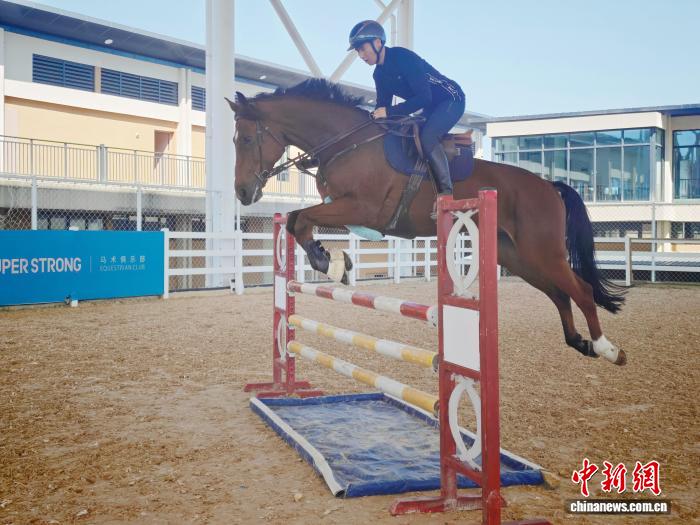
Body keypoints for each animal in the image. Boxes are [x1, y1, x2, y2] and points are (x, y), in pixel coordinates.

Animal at [226, 79, 626, 366]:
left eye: (245, 139)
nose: (243, 192)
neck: (347, 144)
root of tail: (550, 186)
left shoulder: (363, 208)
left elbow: (300, 219)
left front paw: (332, 263)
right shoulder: (344, 209)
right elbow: (298, 220)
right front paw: (332, 261)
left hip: (542, 252)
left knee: (581, 290)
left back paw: (607, 348)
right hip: (517, 257)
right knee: (559, 293)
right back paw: (579, 342)